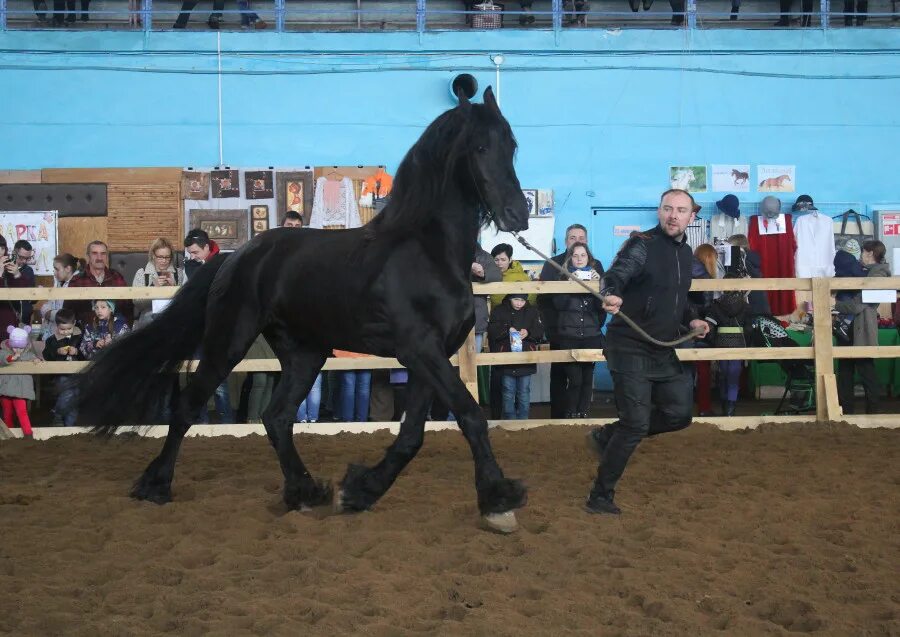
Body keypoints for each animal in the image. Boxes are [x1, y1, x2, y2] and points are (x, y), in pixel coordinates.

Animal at [79, 85, 528, 532]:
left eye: (511, 145)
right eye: (479, 146)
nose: (517, 214)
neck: (427, 252)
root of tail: (236, 257)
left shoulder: (429, 357)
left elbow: (412, 436)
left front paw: (360, 491)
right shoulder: (420, 350)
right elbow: (471, 416)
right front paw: (499, 500)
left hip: (304, 353)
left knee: (276, 417)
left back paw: (305, 491)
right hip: (229, 342)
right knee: (189, 406)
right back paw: (155, 486)